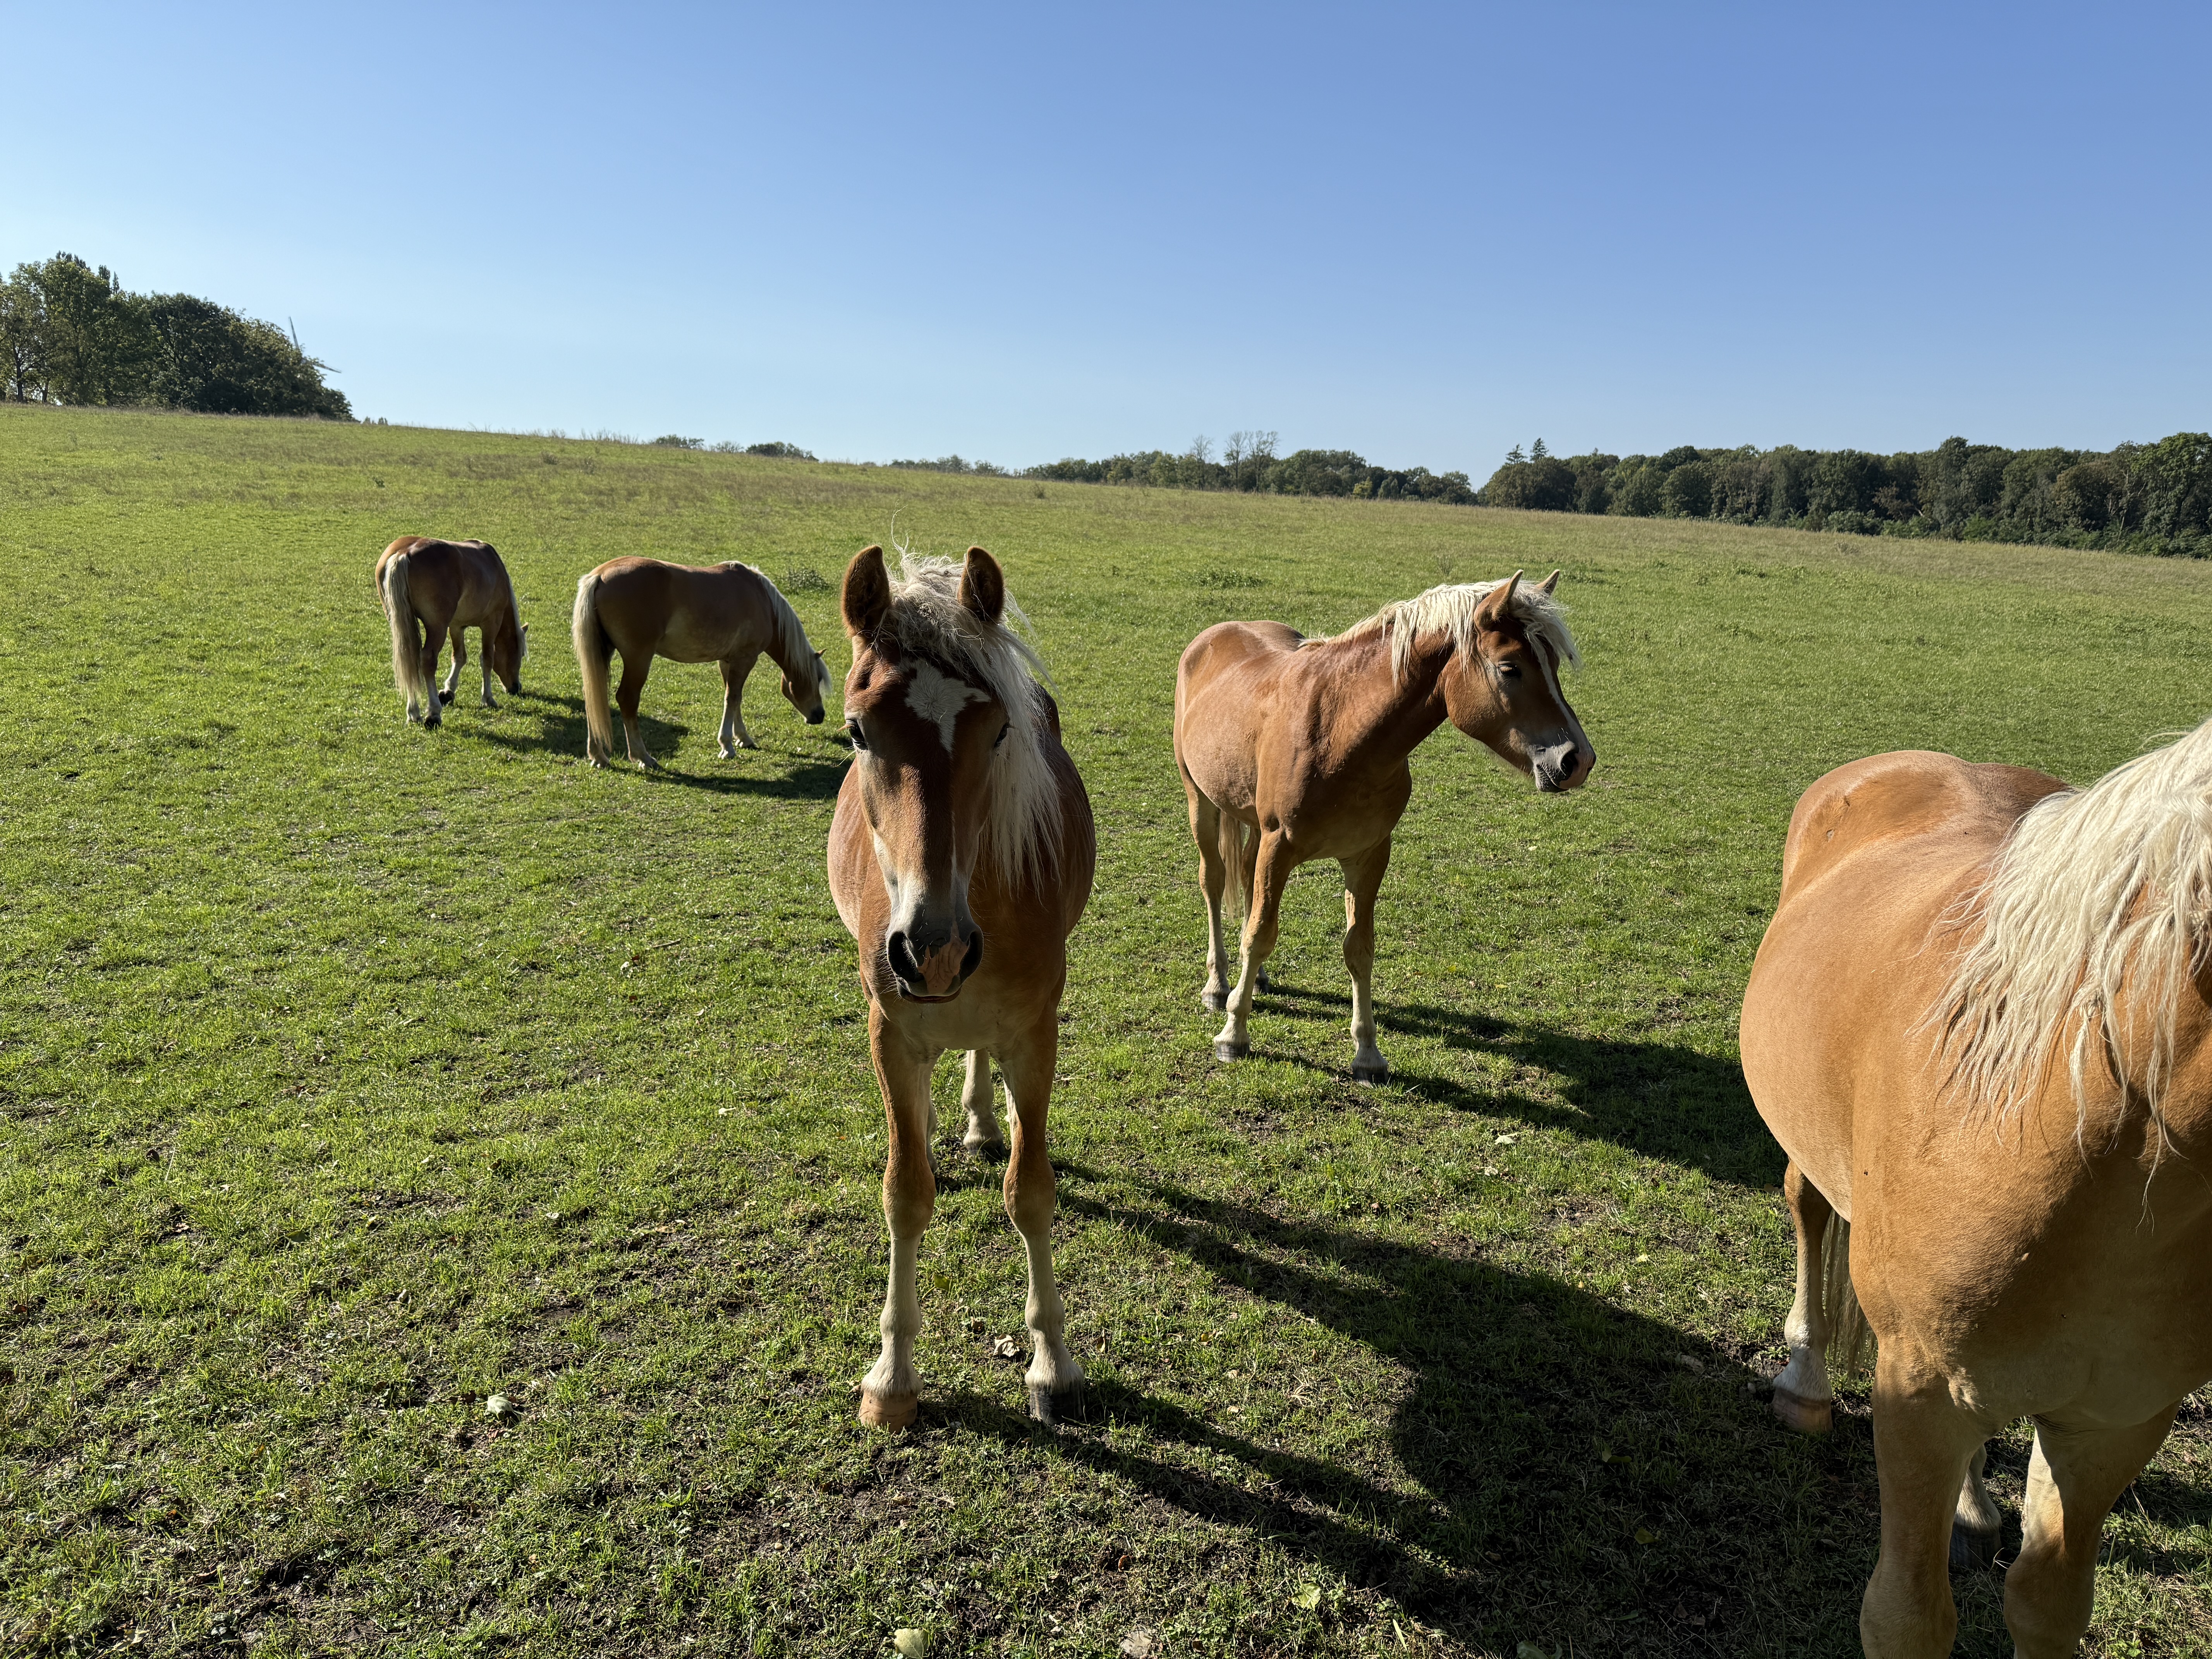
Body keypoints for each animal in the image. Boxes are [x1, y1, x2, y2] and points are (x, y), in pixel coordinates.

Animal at [376, 537, 527, 726]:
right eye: (520, 655)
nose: (516, 688)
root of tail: (405, 552)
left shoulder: (456, 626)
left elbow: (460, 657)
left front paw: (449, 691)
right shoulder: (491, 623)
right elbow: (487, 659)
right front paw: (488, 698)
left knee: (410, 660)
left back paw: (414, 712)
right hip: (437, 628)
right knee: (428, 661)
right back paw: (434, 713)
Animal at [570, 556, 830, 768]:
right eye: (816, 679)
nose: (819, 715)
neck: (762, 600)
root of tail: (600, 576)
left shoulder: (728, 661)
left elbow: (734, 699)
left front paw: (743, 738)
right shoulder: (745, 659)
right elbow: (733, 698)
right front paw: (727, 746)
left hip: (603, 653)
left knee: (594, 694)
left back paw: (598, 756)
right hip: (638, 660)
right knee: (627, 699)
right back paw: (643, 757)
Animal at [827, 544, 1096, 1430]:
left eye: (1000, 729)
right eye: (857, 730)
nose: (932, 948)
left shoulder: (1035, 1031)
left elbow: (1031, 1192)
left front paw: (1052, 1362)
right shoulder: (891, 1033)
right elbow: (905, 1193)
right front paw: (892, 1378)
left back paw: (983, 1120)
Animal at [1173, 571, 1594, 1081]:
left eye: (1552, 663)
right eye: (1510, 668)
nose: (1577, 760)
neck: (1340, 731)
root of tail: (1213, 635)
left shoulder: (1368, 854)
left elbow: (1359, 948)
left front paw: (1368, 1054)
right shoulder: (1280, 847)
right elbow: (1260, 935)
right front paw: (1234, 1034)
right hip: (1201, 801)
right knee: (1213, 883)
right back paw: (1219, 986)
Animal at [1741, 722, 2212, 1657]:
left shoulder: (2114, 1422)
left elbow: (2048, 1605)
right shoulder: (1917, 1396)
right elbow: (1906, 1617)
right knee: (1808, 1208)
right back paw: (1804, 1382)